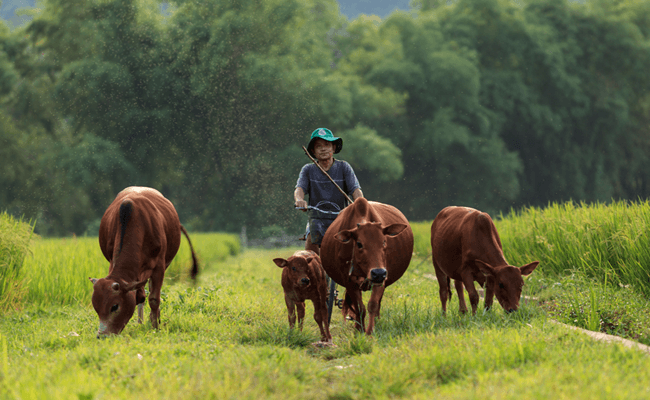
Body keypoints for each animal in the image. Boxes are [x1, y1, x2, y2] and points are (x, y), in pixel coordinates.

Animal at [88, 188, 199, 338]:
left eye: (115, 306)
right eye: (96, 307)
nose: (102, 336)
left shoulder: (159, 267)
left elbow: (154, 298)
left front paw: (155, 326)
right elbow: (140, 295)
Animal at [318, 198, 410, 336]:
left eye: (384, 242)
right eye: (359, 244)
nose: (378, 273)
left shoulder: (381, 280)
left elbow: (373, 305)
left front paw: (370, 332)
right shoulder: (349, 281)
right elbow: (359, 308)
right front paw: (359, 331)